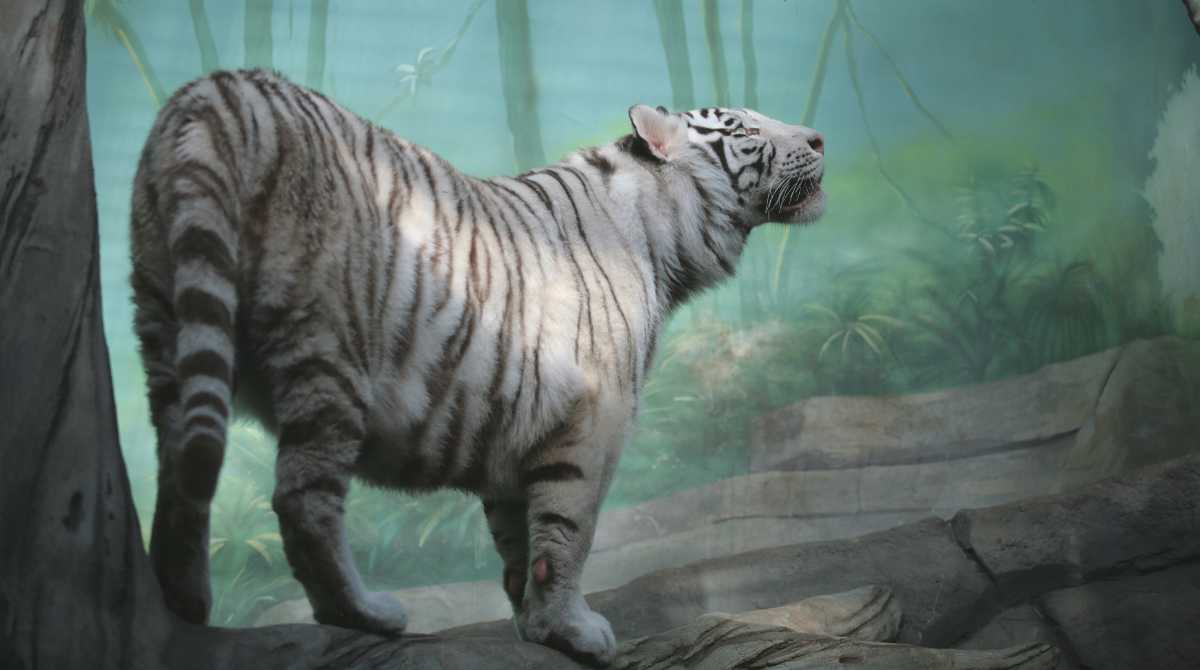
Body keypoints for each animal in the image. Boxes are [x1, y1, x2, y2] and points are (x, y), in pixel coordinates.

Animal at [130, 68, 825, 664]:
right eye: (744, 129)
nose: (819, 138)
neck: (665, 237)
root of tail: (220, 90)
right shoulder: (594, 418)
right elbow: (570, 530)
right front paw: (575, 630)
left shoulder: (518, 426)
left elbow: (518, 539)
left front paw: (535, 625)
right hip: (328, 347)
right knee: (303, 500)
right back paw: (365, 613)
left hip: (163, 323)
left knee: (180, 464)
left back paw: (185, 597)